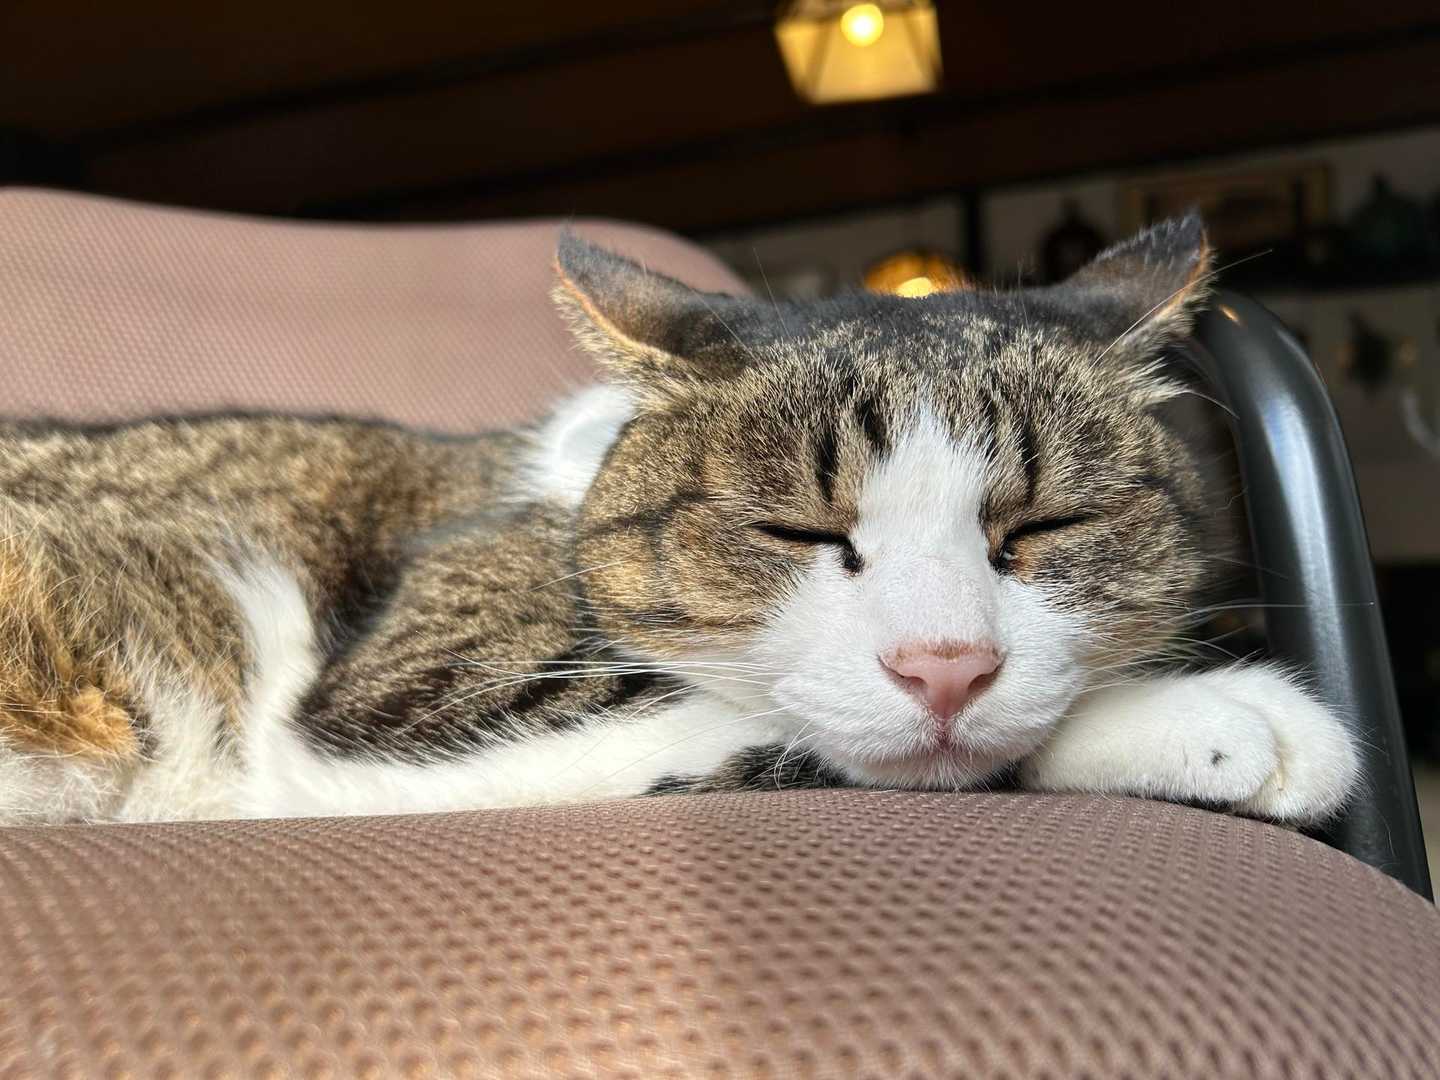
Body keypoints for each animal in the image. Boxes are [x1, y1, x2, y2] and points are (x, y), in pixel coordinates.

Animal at [0, 213, 1359, 825]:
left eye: (1041, 530)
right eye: (798, 535)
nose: (946, 664)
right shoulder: (381, 718)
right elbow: (806, 736)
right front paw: (1223, 715)